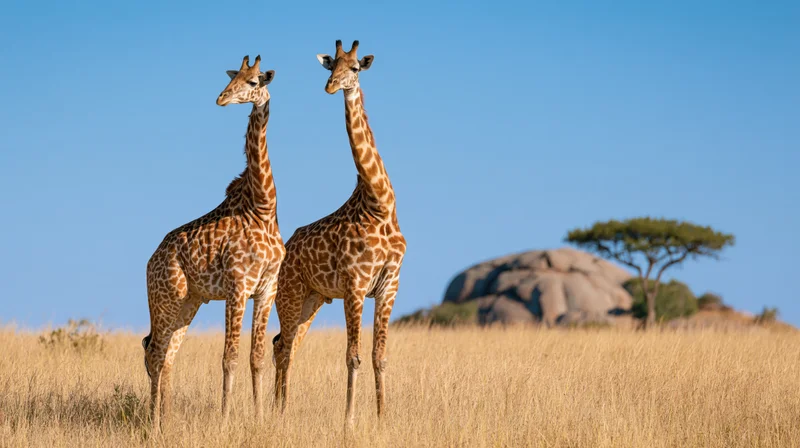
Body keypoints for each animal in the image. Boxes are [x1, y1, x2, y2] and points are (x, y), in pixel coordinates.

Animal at [142, 55, 285, 429]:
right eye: (233, 78)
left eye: (253, 81)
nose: (221, 98)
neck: (263, 208)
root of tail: (149, 262)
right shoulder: (237, 286)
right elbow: (229, 357)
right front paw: (224, 420)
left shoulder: (266, 288)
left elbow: (256, 357)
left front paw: (259, 418)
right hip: (166, 297)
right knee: (155, 351)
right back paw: (154, 424)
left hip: (189, 301)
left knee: (167, 355)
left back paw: (166, 419)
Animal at [272, 40, 406, 425]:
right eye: (332, 66)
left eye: (355, 68)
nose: (331, 86)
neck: (379, 204)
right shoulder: (355, 285)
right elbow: (353, 356)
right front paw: (349, 421)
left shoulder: (389, 284)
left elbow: (379, 356)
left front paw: (382, 418)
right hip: (289, 293)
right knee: (283, 346)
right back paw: (279, 412)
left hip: (313, 298)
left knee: (283, 345)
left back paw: (278, 408)